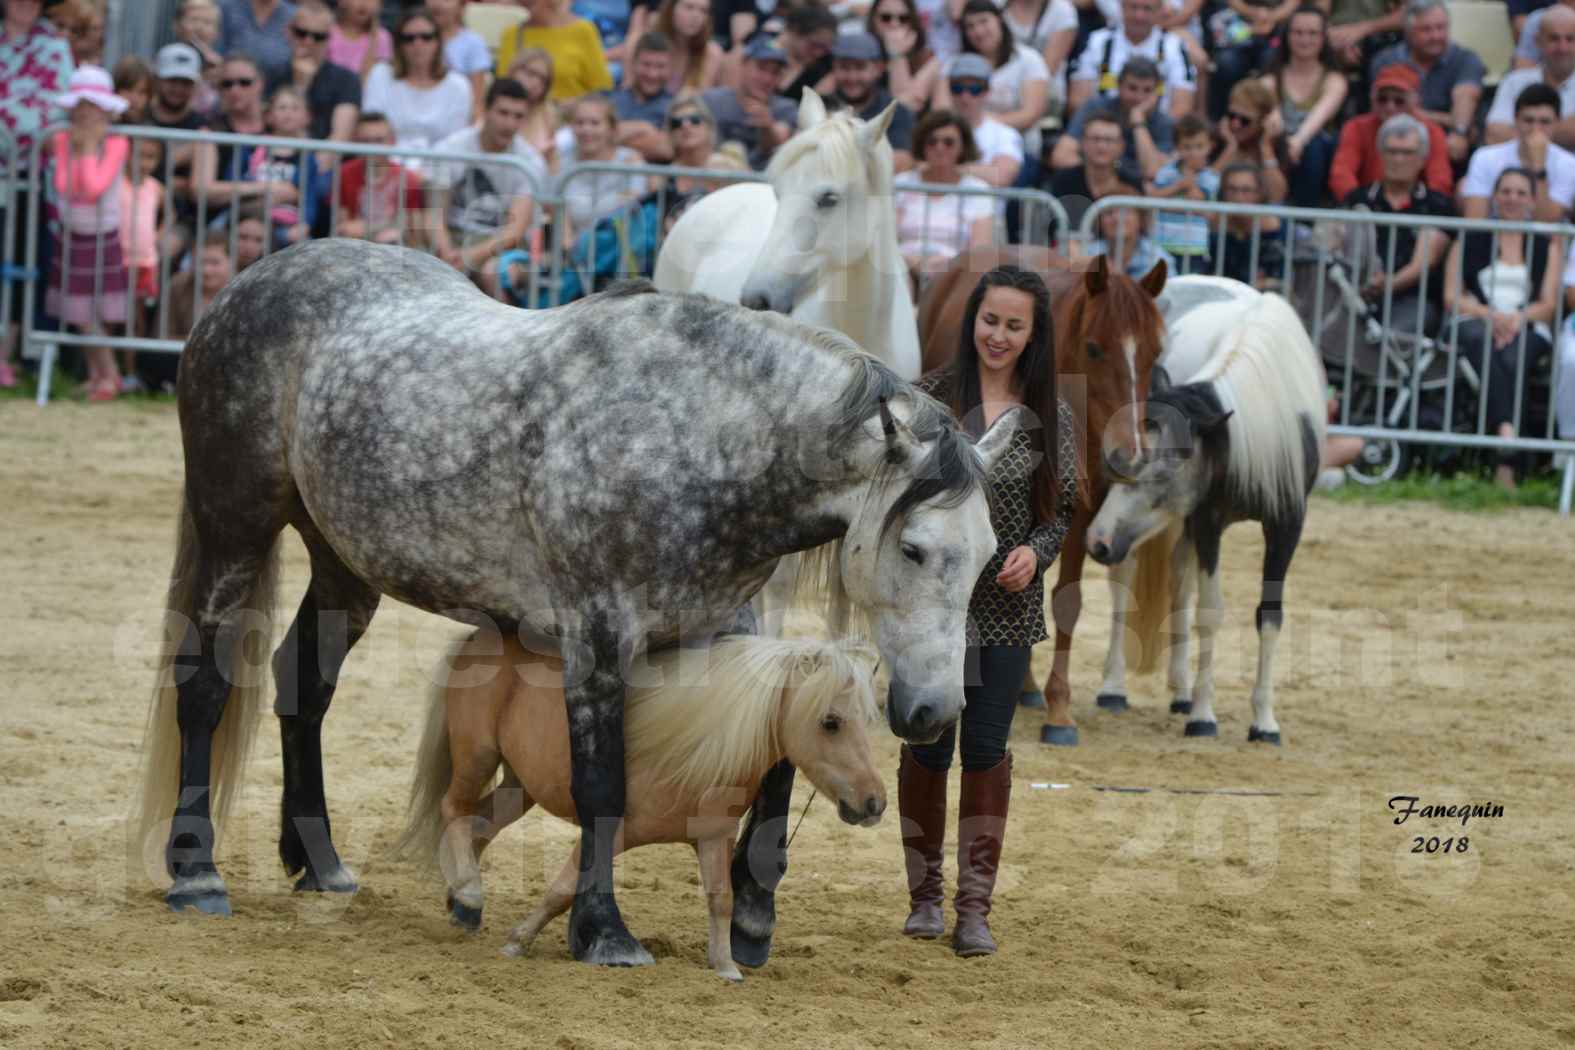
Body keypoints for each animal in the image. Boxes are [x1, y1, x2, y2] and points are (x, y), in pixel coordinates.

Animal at [400, 632, 882, 988]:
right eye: (830, 722)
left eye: (870, 719)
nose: (874, 801)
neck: (698, 743)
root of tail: (477, 637)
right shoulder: (608, 833)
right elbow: (562, 890)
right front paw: (518, 942)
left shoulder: (714, 837)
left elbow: (721, 899)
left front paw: (725, 966)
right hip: (477, 757)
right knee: (453, 809)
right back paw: (469, 893)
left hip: (520, 787)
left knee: (476, 825)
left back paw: (460, 896)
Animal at [913, 248, 1171, 746]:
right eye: (1094, 348)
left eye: (1155, 352)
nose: (1129, 457)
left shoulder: (1080, 511)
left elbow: (1066, 601)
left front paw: (1058, 707)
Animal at [1083, 291, 1329, 743]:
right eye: (1120, 464)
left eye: (1161, 475)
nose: (1098, 541)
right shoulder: (1207, 521)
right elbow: (1209, 613)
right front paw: (1203, 715)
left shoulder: (1286, 526)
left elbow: (1269, 616)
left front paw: (1264, 721)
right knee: (1126, 587)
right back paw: (1114, 688)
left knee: (1179, 584)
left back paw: (1180, 691)